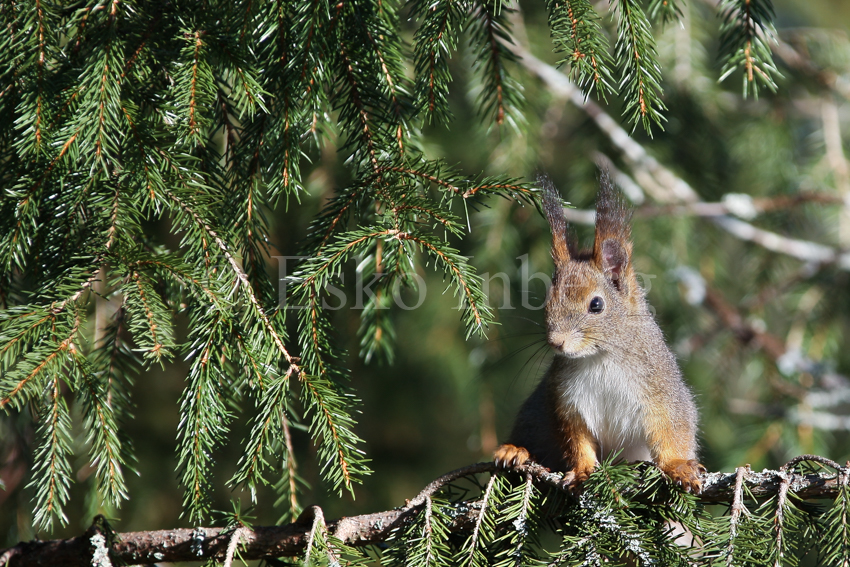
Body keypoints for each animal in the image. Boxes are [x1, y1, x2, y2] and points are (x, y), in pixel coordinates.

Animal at [494, 172, 704, 493]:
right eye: (547, 301)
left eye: (596, 305)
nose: (557, 342)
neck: (601, 357)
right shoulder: (567, 403)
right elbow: (577, 442)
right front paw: (582, 471)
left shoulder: (662, 391)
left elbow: (673, 429)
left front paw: (678, 466)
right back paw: (516, 450)